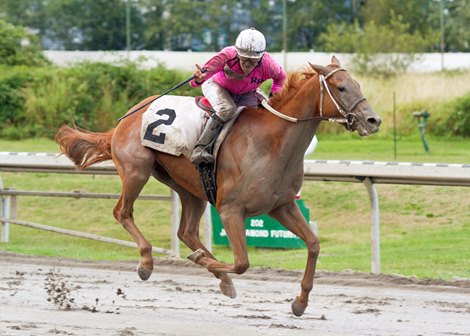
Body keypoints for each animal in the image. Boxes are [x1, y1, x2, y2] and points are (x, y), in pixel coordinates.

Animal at [56, 56, 382, 316]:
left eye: (358, 84)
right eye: (341, 87)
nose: (373, 120)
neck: (272, 142)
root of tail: (124, 120)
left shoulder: (282, 205)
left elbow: (313, 245)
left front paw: (300, 302)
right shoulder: (230, 210)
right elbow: (242, 263)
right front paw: (210, 264)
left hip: (190, 188)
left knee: (186, 231)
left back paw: (214, 272)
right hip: (137, 170)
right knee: (123, 212)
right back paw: (147, 262)